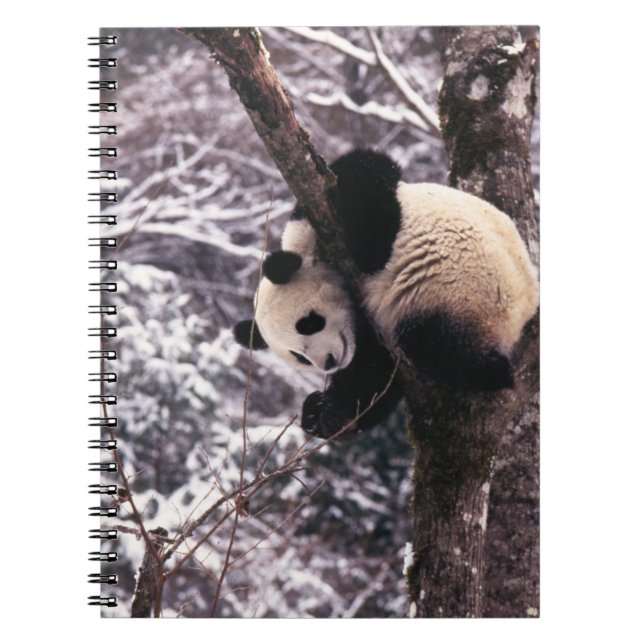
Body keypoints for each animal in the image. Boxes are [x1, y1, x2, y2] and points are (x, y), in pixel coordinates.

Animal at [234, 149, 539, 438]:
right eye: (299, 357)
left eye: (309, 323)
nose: (329, 363)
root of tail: (523, 312)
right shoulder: (366, 336)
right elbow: (373, 375)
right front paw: (322, 413)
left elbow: (365, 177)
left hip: (463, 292)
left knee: (432, 343)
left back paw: (491, 370)